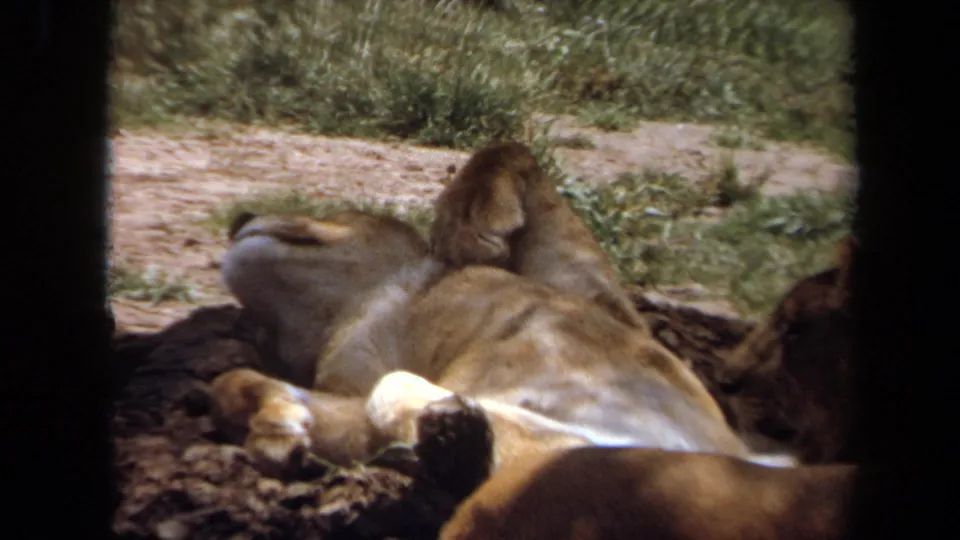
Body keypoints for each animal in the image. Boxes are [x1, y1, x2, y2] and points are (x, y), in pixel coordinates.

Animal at [211, 142, 794, 481]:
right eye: (260, 331)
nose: (237, 216)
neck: (376, 305)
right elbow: (233, 382)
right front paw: (278, 427)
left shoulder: (600, 301)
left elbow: (506, 148)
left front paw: (470, 229)